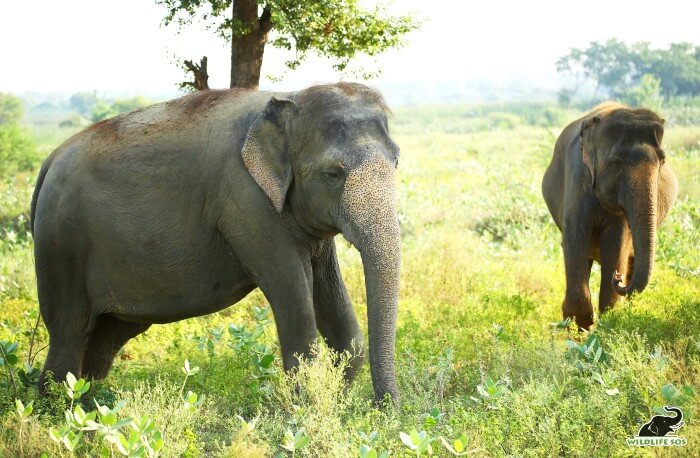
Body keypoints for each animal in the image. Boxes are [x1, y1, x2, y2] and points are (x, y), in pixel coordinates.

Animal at [31, 83, 400, 404]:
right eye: (333, 174)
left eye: (396, 160)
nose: (383, 408)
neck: (289, 97)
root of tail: (49, 161)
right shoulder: (247, 202)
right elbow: (292, 296)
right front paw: (307, 409)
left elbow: (341, 320)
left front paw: (333, 403)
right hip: (62, 244)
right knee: (69, 328)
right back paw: (59, 409)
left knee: (106, 335)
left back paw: (90, 405)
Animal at [540, 102, 680, 330]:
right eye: (616, 161)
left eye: (663, 161)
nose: (618, 278)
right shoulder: (577, 175)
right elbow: (575, 237)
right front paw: (582, 327)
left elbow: (617, 243)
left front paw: (609, 322)